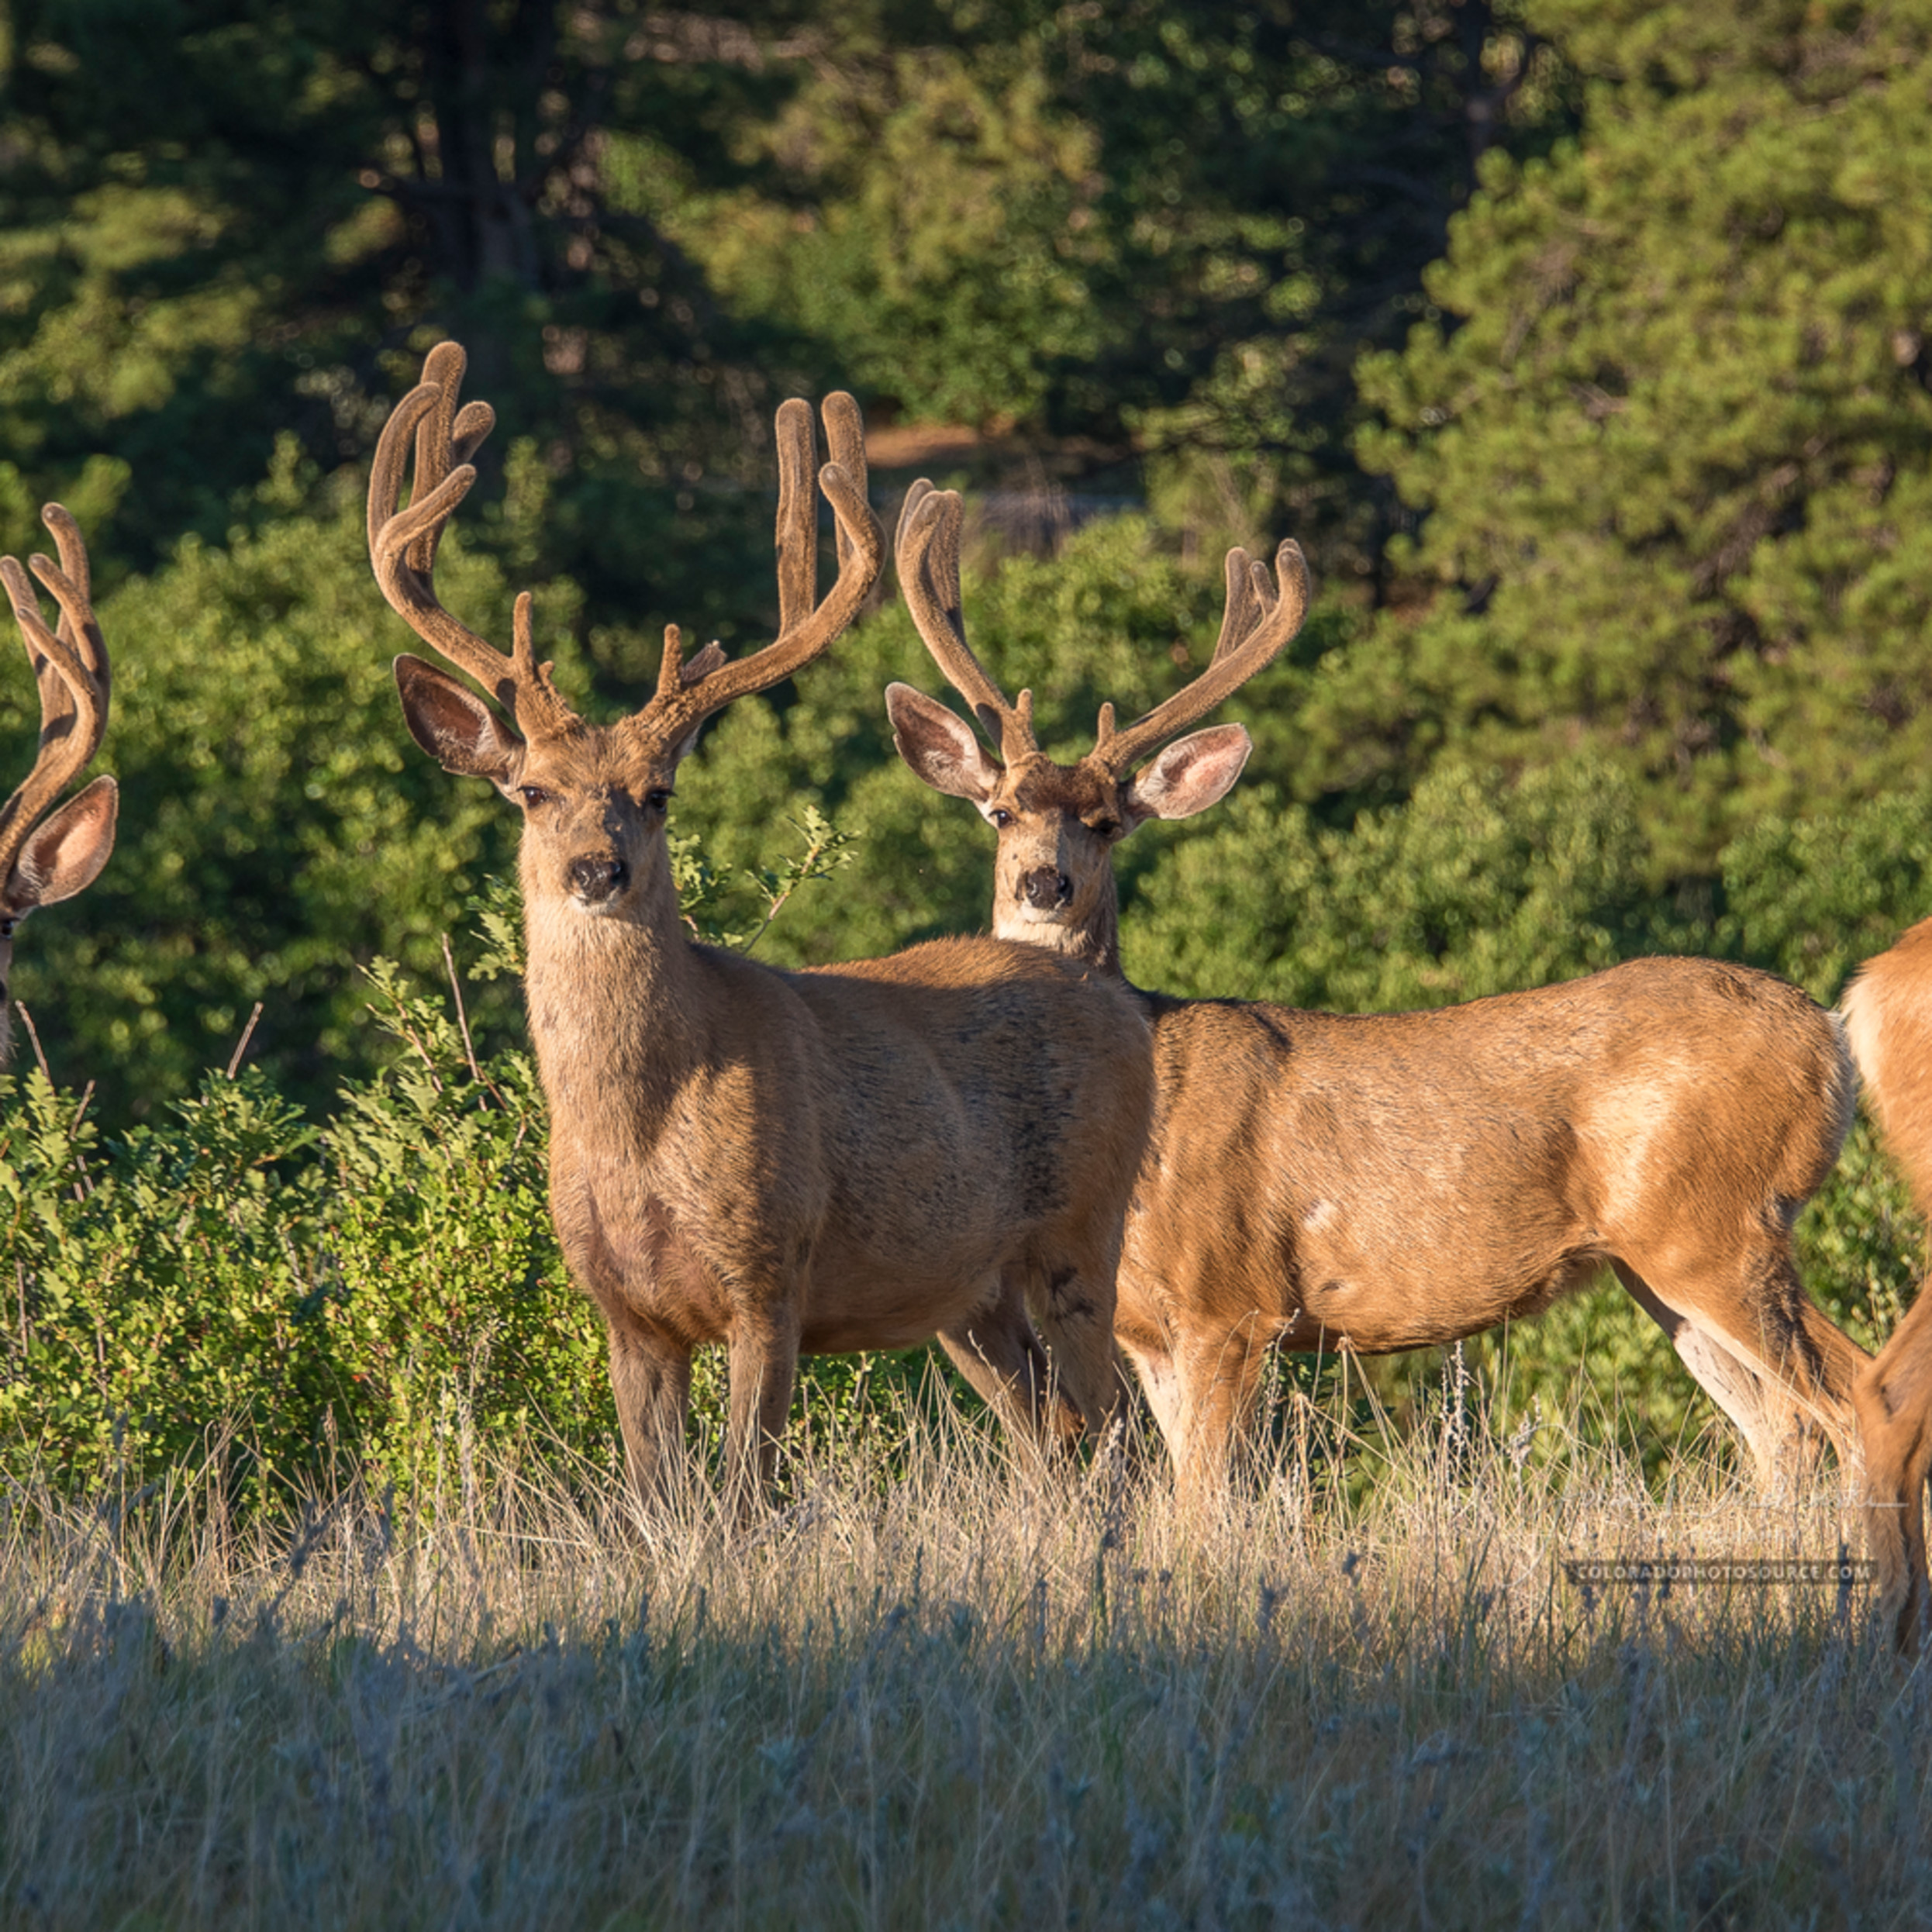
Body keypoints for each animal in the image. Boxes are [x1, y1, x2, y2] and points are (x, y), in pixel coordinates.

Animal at [366, 345, 1153, 1512]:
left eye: (656, 792)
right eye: (533, 791)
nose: (597, 871)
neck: (637, 1136)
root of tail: (1117, 999)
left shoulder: (770, 1271)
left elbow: (742, 1497)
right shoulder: (626, 1312)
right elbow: (654, 1499)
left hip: (1082, 1234)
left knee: (1115, 1430)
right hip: (970, 1295)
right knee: (1051, 1434)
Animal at [883, 482, 1932, 1643]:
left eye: (1108, 822)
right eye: (999, 810)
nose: (1043, 883)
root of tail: (1831, 1030)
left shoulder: (1231, 1303)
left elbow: (1204, 1515)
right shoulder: (1151, 1331)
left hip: (1722, 1226)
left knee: (1852, 1401)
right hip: (1660, 1265)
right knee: (1780, 1432)